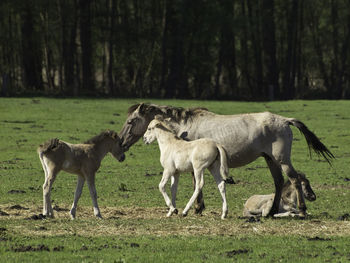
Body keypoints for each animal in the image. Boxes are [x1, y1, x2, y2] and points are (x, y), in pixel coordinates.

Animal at [118, 104, 334, 218]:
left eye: (130, 122)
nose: (121, 143)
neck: (184, 127)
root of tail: (284, 120)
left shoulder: (195, 166)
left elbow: (196, 185)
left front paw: (196, 208)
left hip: (282, 160)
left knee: (294, 179)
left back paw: (302, 210)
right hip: (270, 159)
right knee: (279, 182)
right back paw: (271, 211)